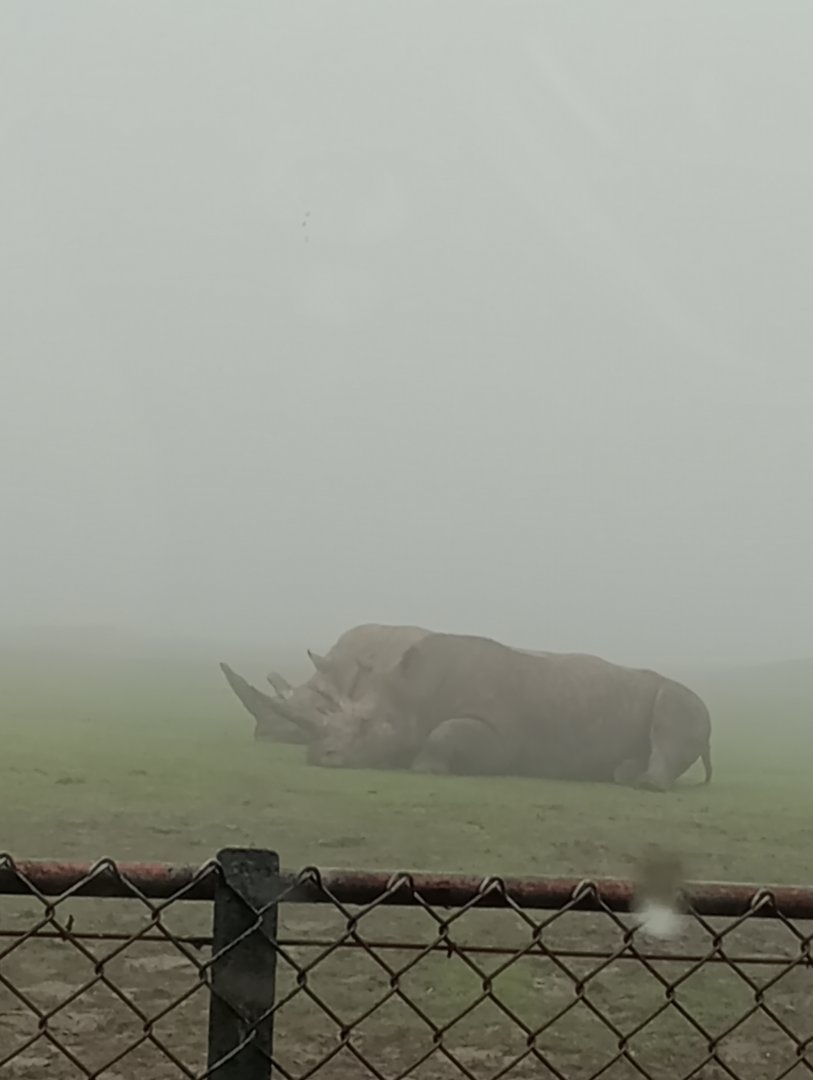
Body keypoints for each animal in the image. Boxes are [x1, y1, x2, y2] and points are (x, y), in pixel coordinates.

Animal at [299, 632, 713, 792]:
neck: (413, 690)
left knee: (671, 712)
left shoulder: (500, 738)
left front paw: (425, 769)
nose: (318, 754)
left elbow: (444, 732)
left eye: (365, 724)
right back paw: (624, 774)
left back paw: (645, 784)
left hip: (688, 701)